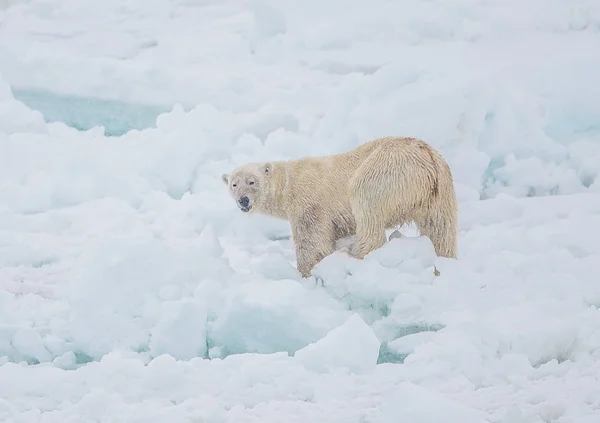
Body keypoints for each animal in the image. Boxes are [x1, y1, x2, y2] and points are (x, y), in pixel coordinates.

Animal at [223, 136, 458, 278]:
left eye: (251, 182)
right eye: (233, 184)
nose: (243, 200)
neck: (290, 183)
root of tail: (425, 156)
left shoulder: (310, 204)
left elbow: (312, 243)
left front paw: (308, 273)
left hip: (386, 170)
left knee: (366, 204)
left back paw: (356, 254)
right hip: (440, 187)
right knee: (441, 230)